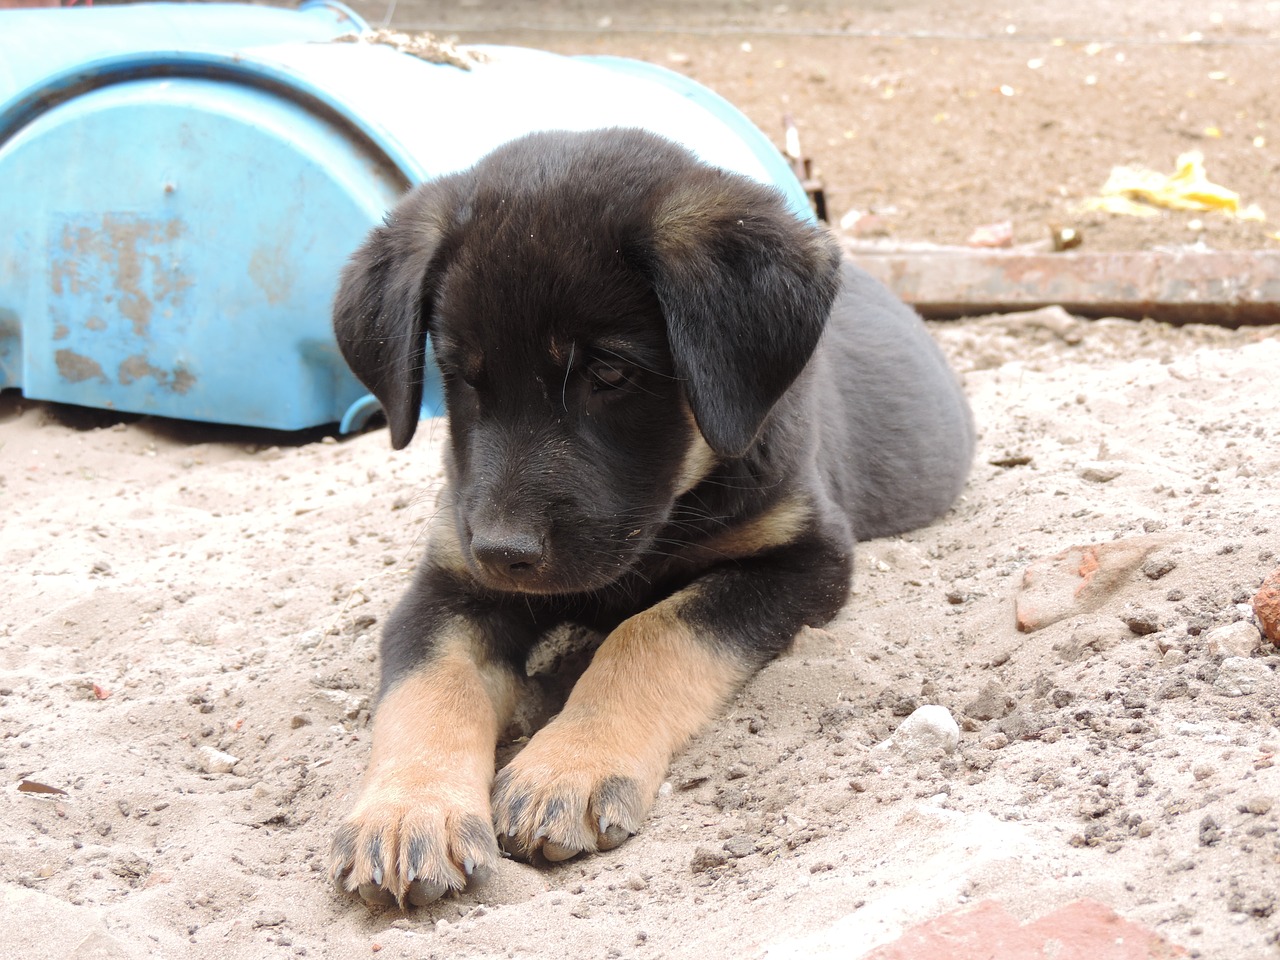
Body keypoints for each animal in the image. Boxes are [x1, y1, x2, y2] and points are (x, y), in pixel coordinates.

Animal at [327, 128, 967, 911]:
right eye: (461, 377)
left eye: (608, 373)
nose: (505, 552)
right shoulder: (451, 581)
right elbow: (428, 685)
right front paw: (407, 809)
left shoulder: (802, 557)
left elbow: (651, 632)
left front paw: (570, 764)